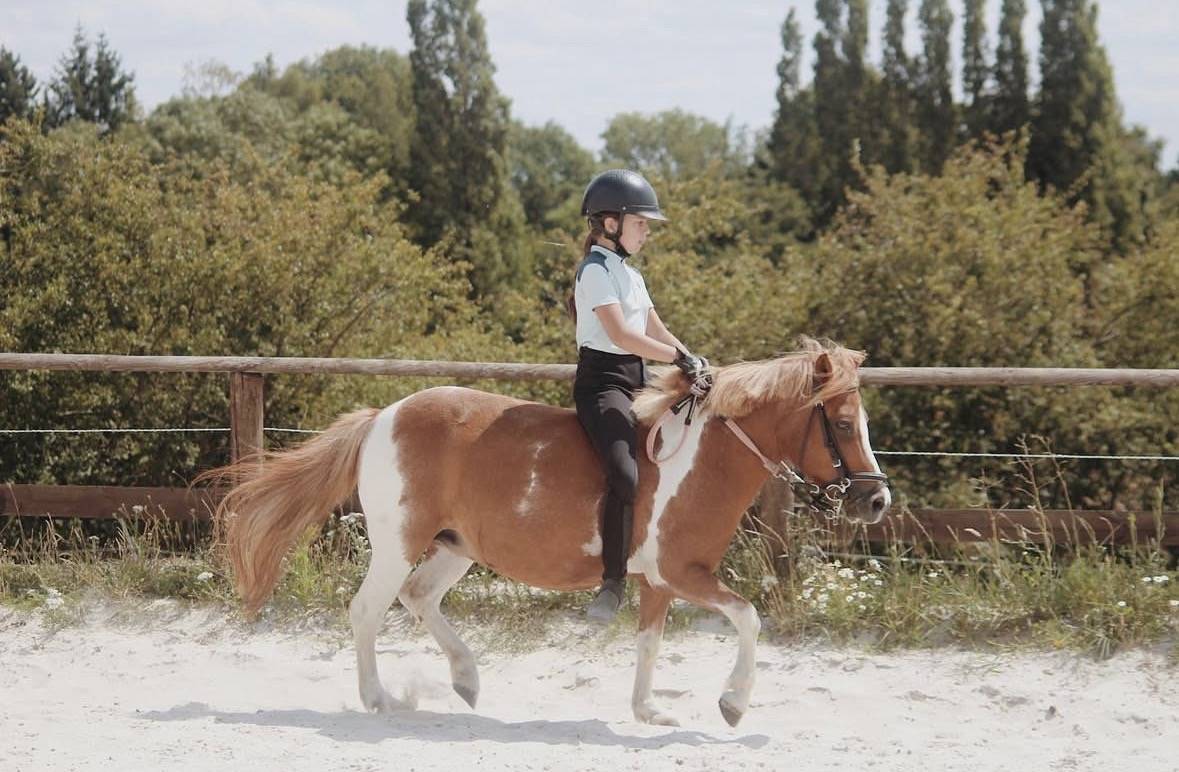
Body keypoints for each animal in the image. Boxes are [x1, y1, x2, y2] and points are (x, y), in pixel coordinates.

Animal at [214, 337, 891, 727]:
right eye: (844, 423)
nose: (877, 500)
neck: (706, 459)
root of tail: (384, 416)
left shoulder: (660, 581)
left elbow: (650, 642)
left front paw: (647, 711)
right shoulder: (682, 573)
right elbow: (749, 619)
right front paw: (732, 703)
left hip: (456, 548)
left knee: (419, 598)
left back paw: (466, 680)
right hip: (398, 545)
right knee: (366, 611)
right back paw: (381, 700)